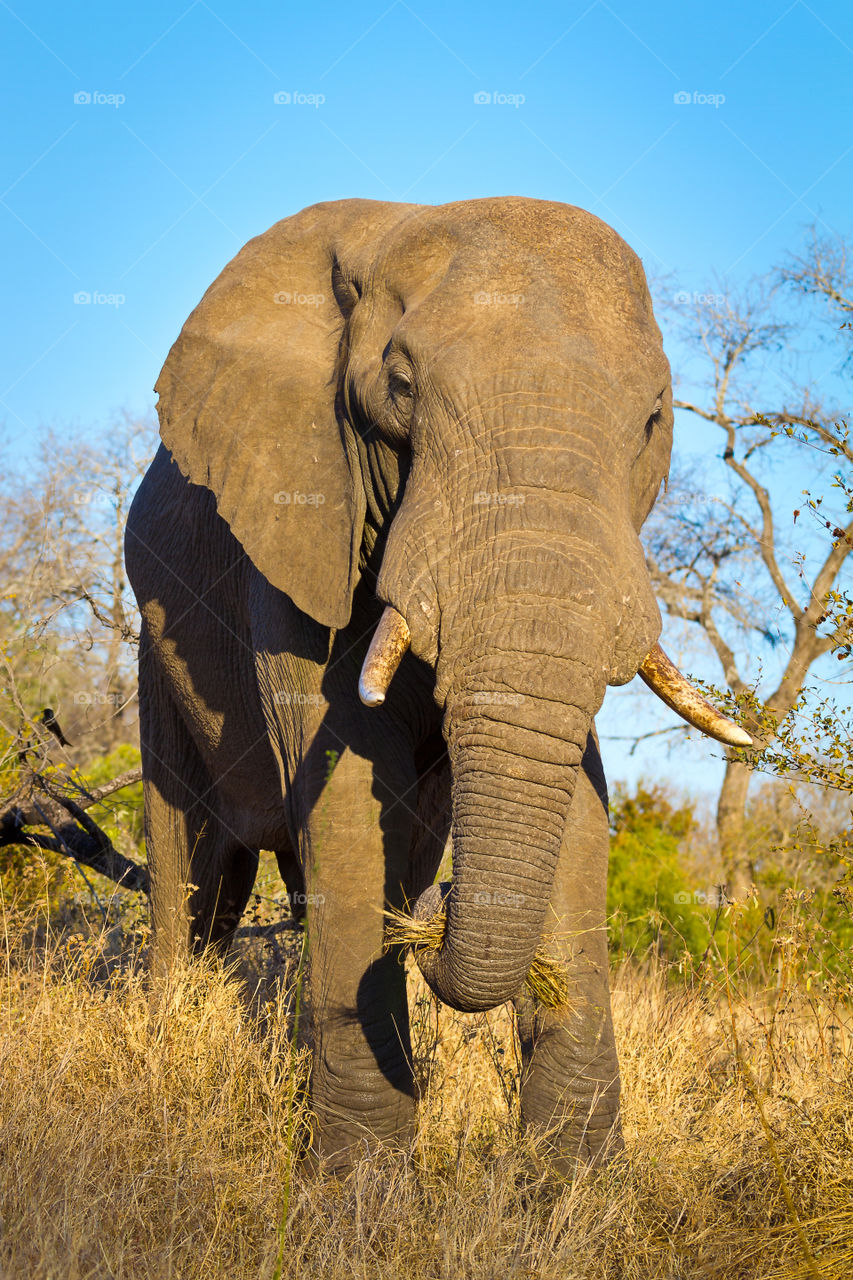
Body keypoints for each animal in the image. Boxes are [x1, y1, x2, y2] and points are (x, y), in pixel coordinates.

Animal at [124, 197, 742, 1172]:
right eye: (402, 389)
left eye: (651, 417)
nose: (439, 911)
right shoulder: (296, 525)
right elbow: (340, 790)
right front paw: (360, 1194)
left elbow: (577, 807)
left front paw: (576, 1187)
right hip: (158, 646)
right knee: (191, 879)